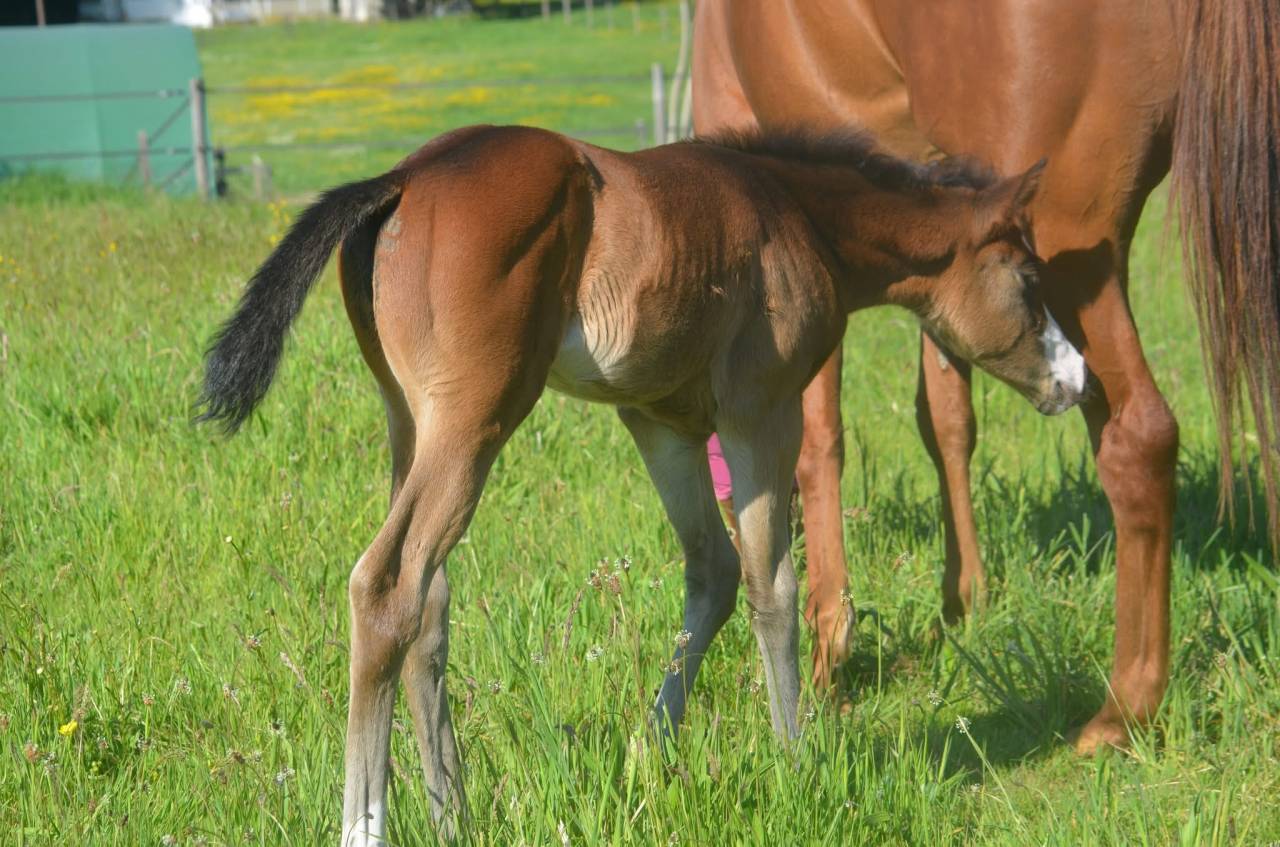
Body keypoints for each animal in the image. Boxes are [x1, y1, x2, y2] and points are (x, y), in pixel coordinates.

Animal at [198, 124, 1084, 842]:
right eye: (1027, 277)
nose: (1073, 378)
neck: (794, 214)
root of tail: (405, 177)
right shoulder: (762, 409)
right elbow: (772, 583)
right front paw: (794, 760)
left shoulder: (661, 422)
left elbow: (713, 574)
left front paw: (646, 755)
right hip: (474, 420)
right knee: (388, 586)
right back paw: (368, 826)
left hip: (407, 422)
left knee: (430, 601)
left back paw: (455, 815)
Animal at [692, 0, 1280, 754]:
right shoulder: (944, 239)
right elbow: (945, 416)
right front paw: (962, 601)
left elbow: (818, 437)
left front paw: (828, 648)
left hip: (1070, 239)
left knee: (1139, 438)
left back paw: (1124, 707)